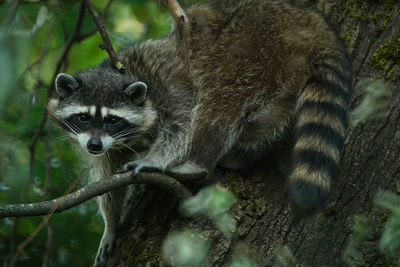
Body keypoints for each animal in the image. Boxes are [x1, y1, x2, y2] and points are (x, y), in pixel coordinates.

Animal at [48, 0, 352, 266]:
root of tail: (309, 22)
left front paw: (154, 160)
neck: (119, 73)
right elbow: (109, 178)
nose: (94, 145)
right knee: (266, 115)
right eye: (83, 117)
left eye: (112, 120)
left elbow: (182, 126)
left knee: (219, 102)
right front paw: (111, 224)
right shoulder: (110, 144)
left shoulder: (167, 85)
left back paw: (197, 163)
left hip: (252, 45)